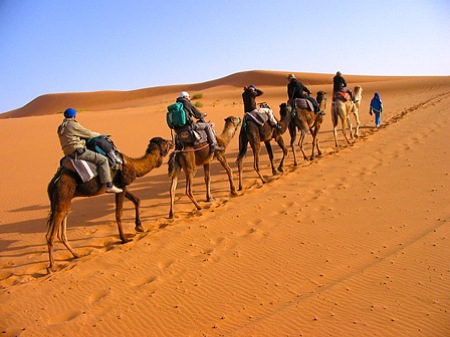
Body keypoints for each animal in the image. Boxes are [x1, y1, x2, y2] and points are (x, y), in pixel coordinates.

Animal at [45, 136, 172, 270]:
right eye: (164, 141)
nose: (172, 141)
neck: (133, 165)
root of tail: (54, 181)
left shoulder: (120, 187)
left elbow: (137, 200)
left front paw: (139, 226)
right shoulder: (122, 184)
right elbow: (119, 214)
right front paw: (124, 239)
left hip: (61, 200)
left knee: (60, 228)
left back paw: (76, 255)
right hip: (62, 195)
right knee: (52, 234)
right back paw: (52, 267)